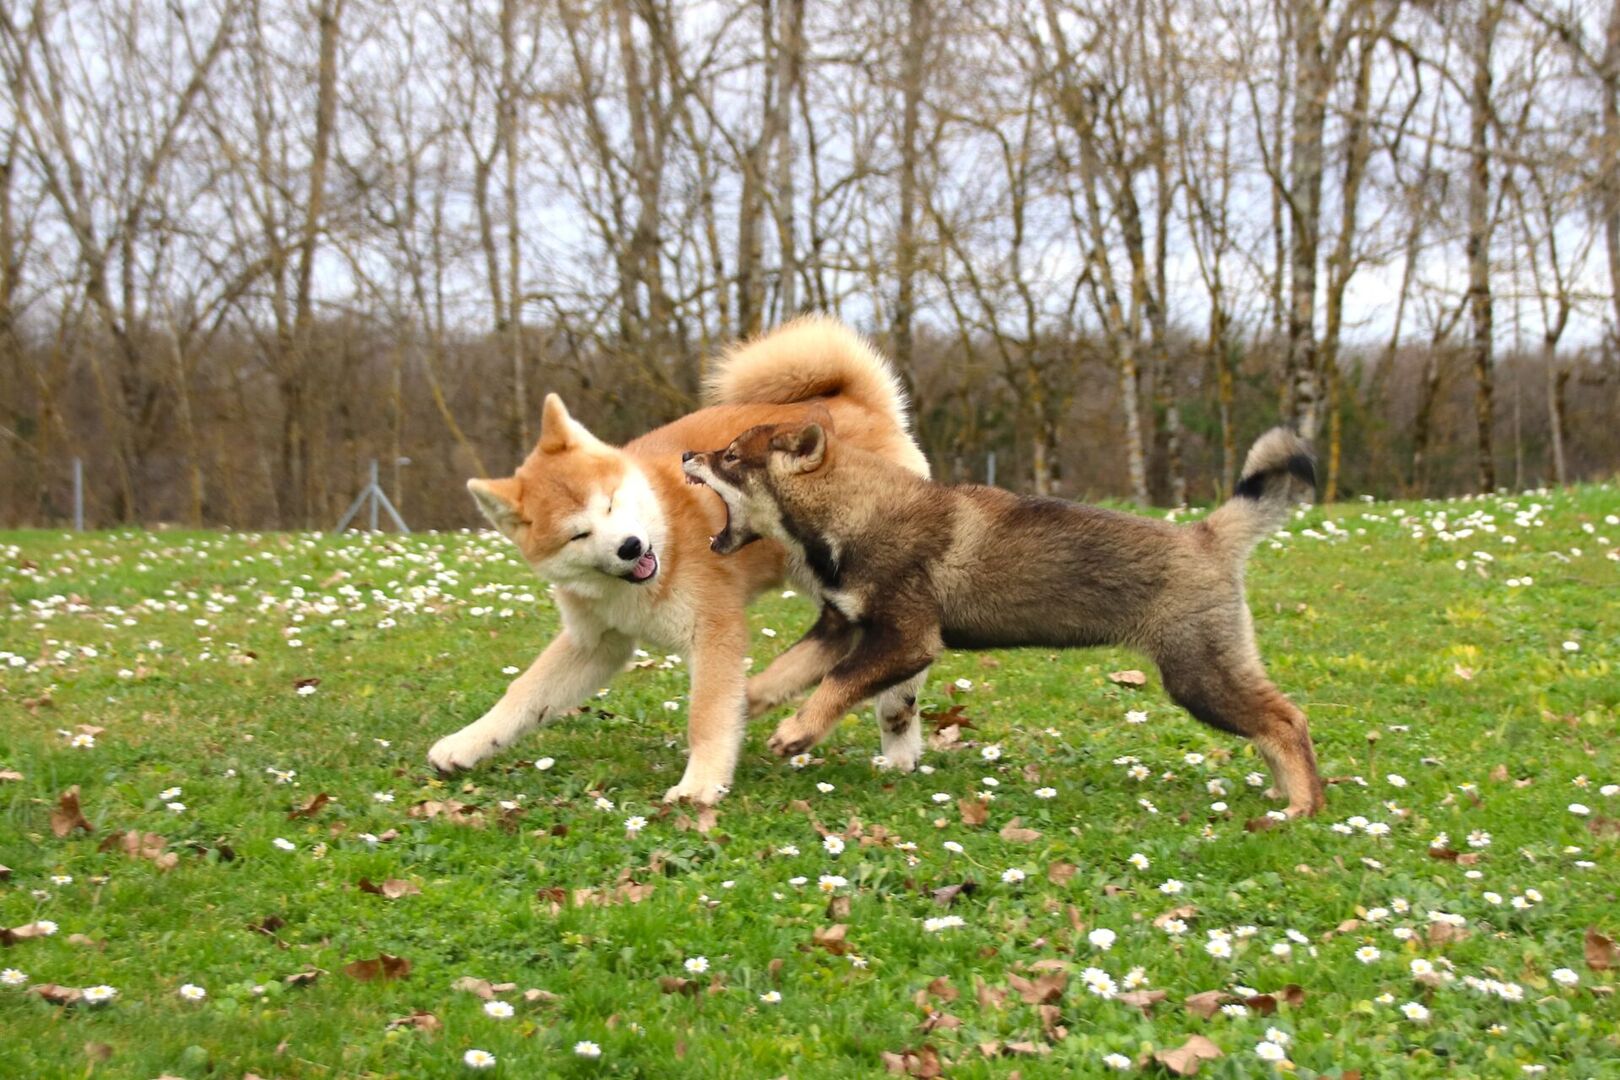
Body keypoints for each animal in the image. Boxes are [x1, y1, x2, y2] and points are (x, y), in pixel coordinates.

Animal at [427, 317, 928, 804]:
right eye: (578, 534)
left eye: (610, 503)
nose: (630, 546)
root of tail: (854, 401)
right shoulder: (596, 643)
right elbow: (524, 695)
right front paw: (466, 744)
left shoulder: (713, 632)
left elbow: (705, 716)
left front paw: (700, 784)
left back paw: (897, 733)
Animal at [682, 422, 1327, 817]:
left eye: (731, 457)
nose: (687, 453)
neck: (855, 513)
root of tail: (1209, 537)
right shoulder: (842, 628)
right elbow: (781, 675)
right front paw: (746, 704)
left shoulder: (906, 641)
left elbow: (836, 686)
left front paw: (797, 733)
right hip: (1213, 670)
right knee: (1273, 721)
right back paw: (1285, 793)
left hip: (1198, 674)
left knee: (1287, 721)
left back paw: (1303, 803)